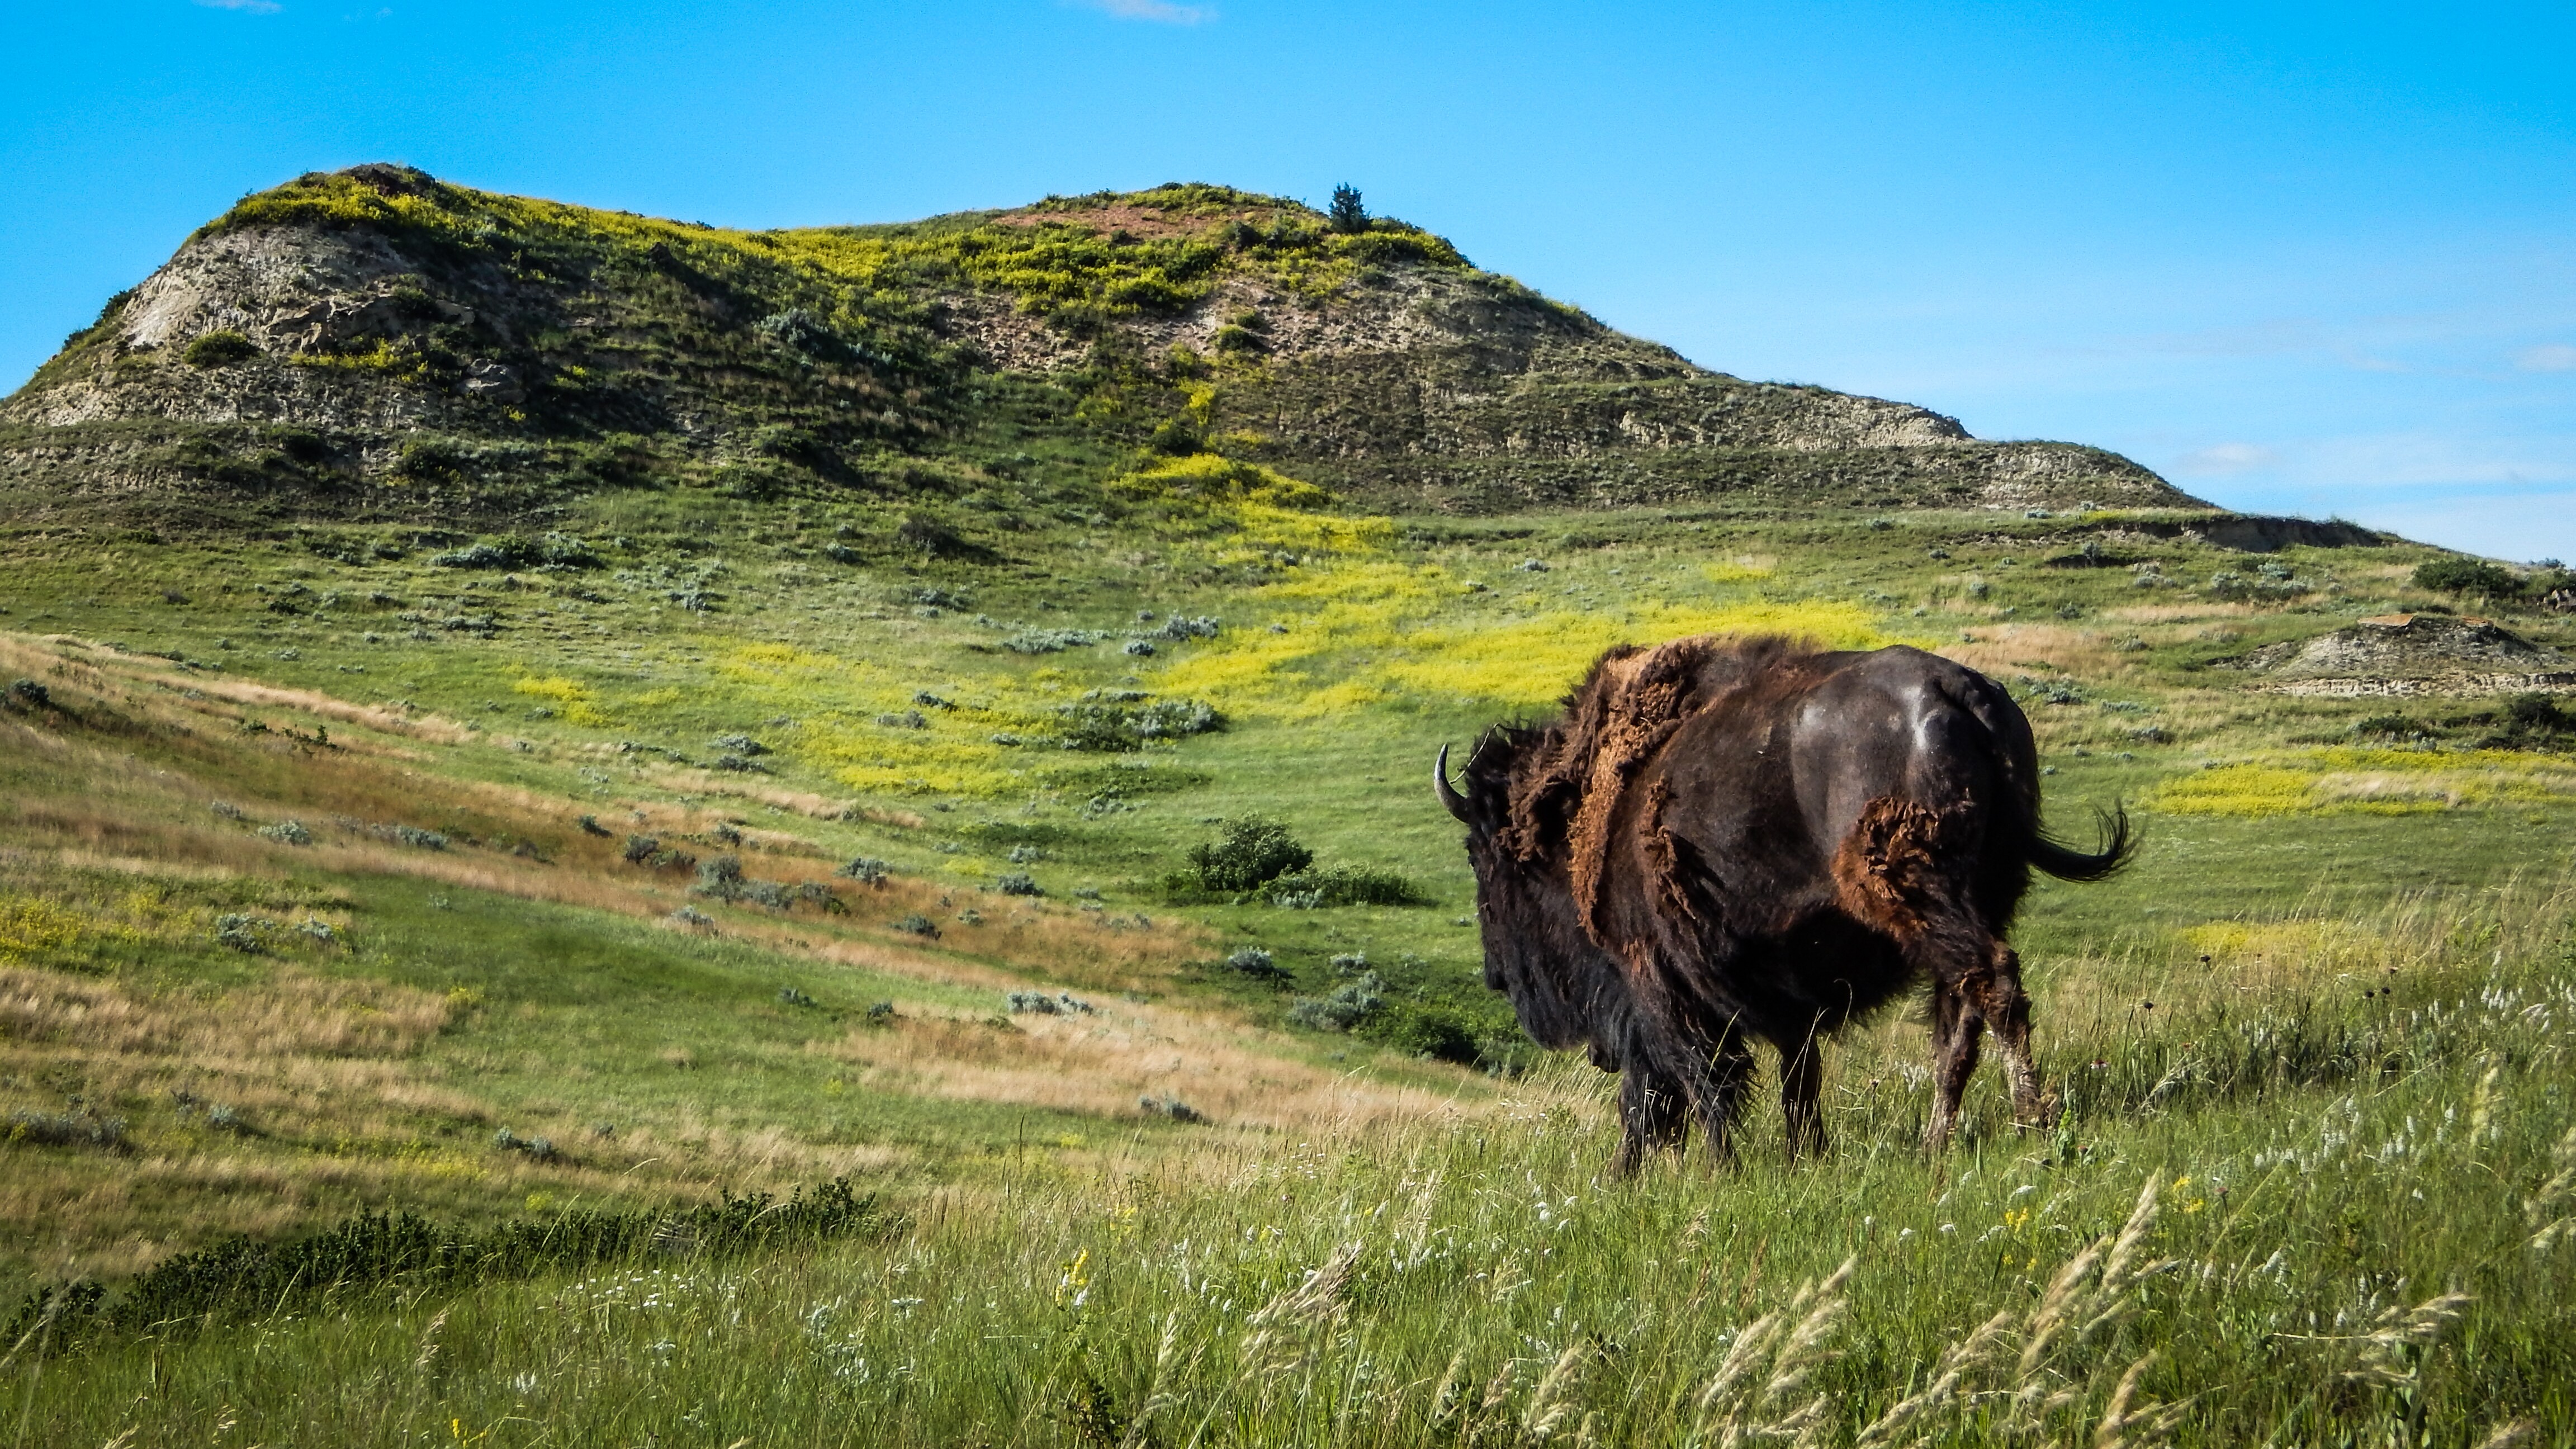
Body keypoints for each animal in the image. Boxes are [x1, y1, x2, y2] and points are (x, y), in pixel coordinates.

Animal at [1432, 631, 2133, 1160]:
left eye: (1485, 859)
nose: (1497, 977)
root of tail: (1955, 692)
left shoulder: (1657, 978)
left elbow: (1699, 1082)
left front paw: (1723, 1170)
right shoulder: (1782, 995)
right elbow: (1797, 1076)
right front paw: (1804, 1157)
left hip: (1914, 891)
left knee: (1993, 984)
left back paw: (2033, 1125)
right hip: (1979, 899)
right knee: (1958, 1013)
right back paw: (1937, 1143)